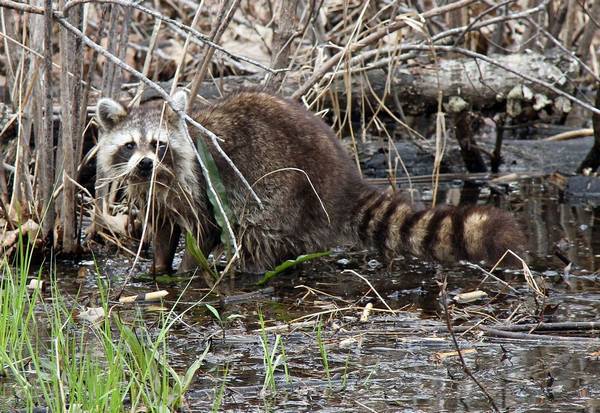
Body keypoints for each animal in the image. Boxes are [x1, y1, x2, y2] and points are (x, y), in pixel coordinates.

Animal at [96, 88, 524, 272]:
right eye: (131, 146)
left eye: (159, 145)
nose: (145, 165)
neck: (161, 179)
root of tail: (343, 182)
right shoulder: (156, 193)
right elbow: (163, 229)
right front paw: (159, 269)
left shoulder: (200, 183)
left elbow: (206, 231)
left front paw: (188, 271)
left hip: (281, 196)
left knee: (255, 233)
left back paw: (250, 270)